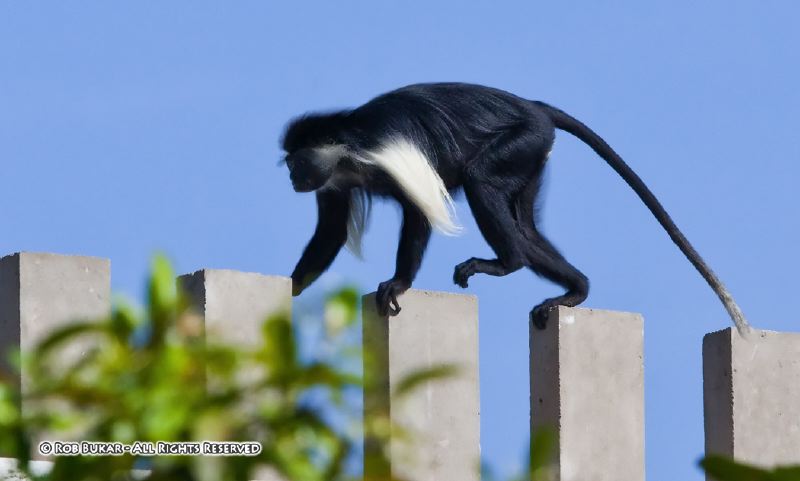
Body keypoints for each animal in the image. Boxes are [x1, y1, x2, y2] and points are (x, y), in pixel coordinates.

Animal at [280, 81, 752, 334]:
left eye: (295, 161)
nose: (291, 178)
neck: (347, 148)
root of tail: (534, 106)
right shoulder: (334, 182)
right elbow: (330, 233)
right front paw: (293, 287)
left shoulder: (386, 157)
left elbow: (419, 213)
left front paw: (398, 284)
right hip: (533, 159)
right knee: (527, 228)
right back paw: (575, 290)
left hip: (521, 142)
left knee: (482, 183)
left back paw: (506, 263)